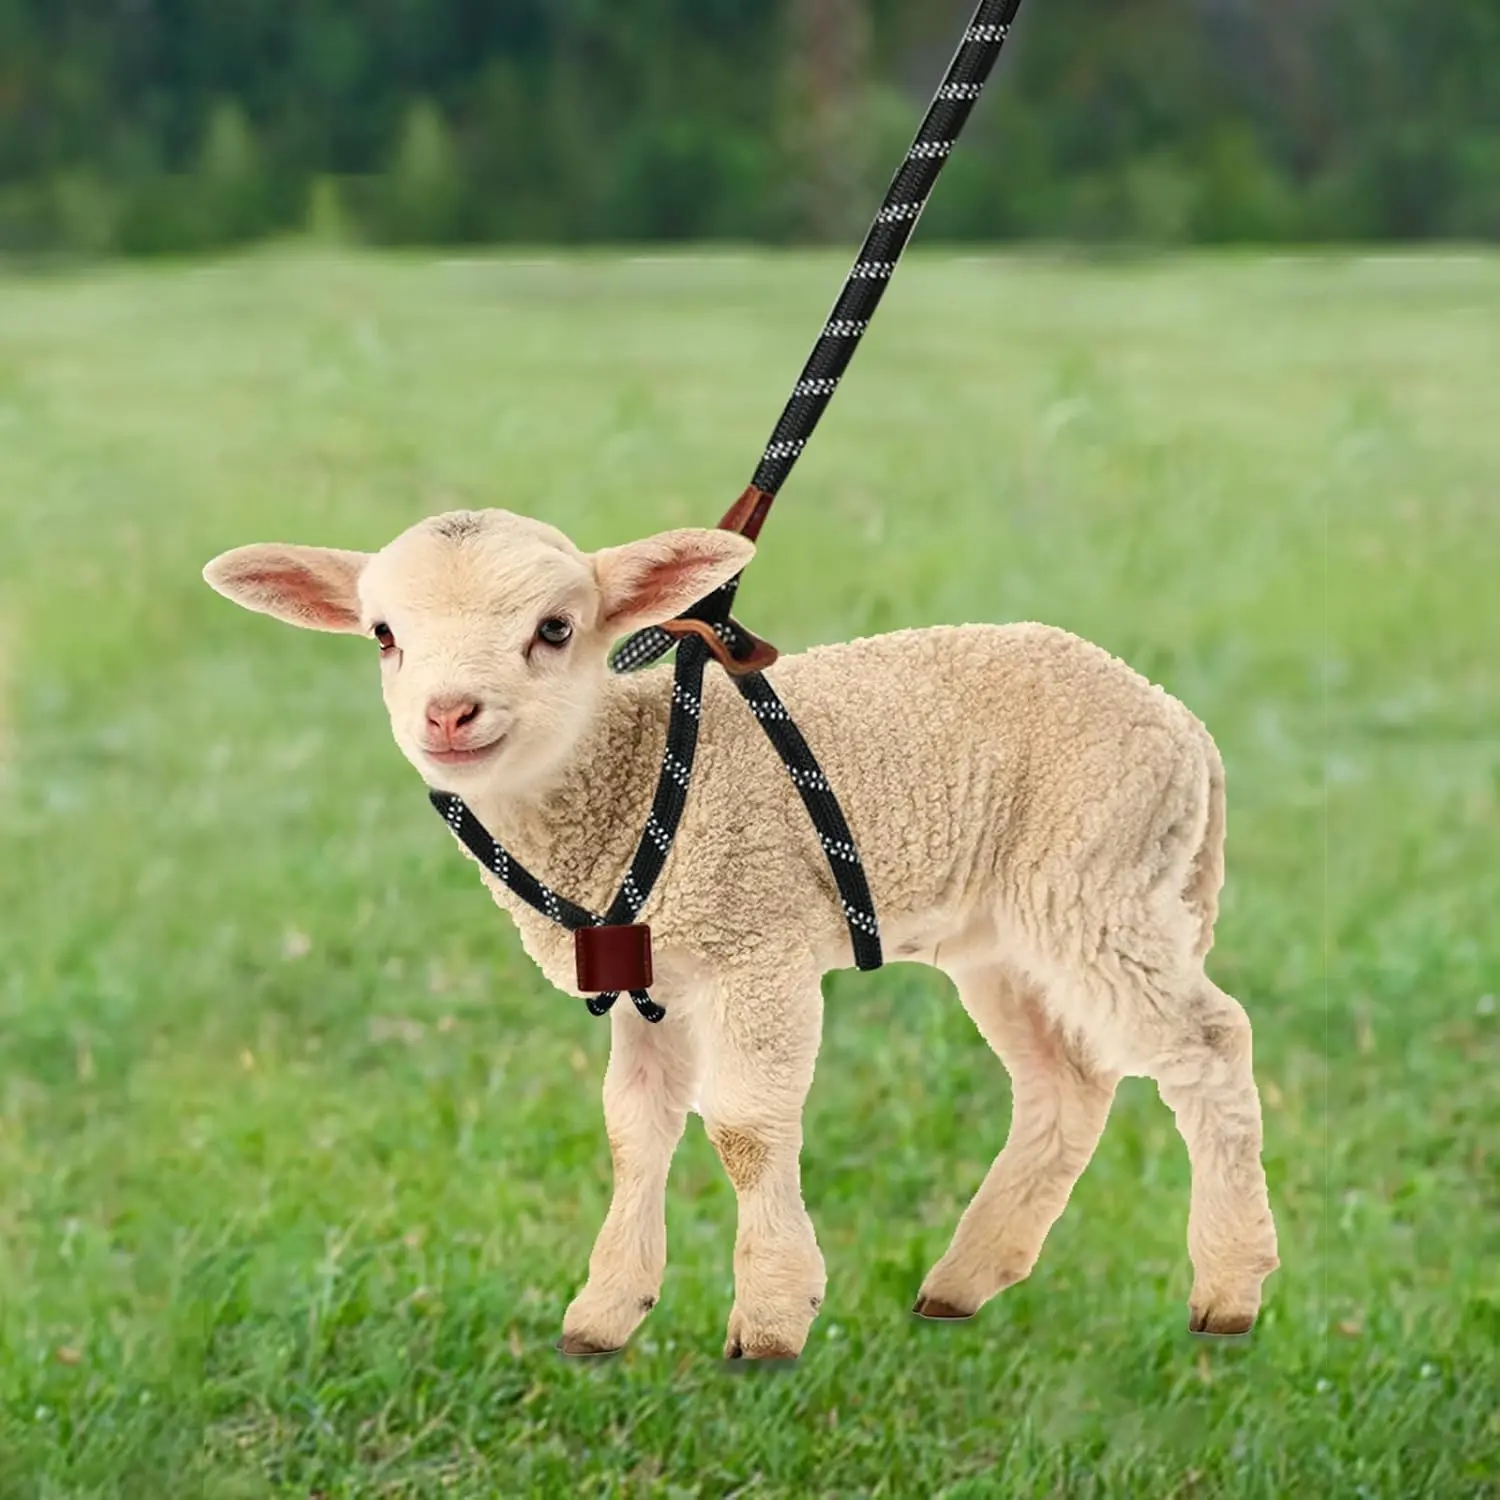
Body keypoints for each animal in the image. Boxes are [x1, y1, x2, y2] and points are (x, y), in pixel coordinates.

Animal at [202, 506, 1280, 1361]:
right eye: (383, 635)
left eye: (555, 629)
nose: (448, 713)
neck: (623, 773)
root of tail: (1186, 730)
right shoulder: (649, 970)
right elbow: (633, 1128)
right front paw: (606, 1314)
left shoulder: (756, 937)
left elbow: (745, 1127)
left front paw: (769, 1318)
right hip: (1006, 930)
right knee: (1068, 1084)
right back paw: (962, 1283)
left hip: (1099, 877)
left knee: (1209, 1042)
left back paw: (1228, 1289)